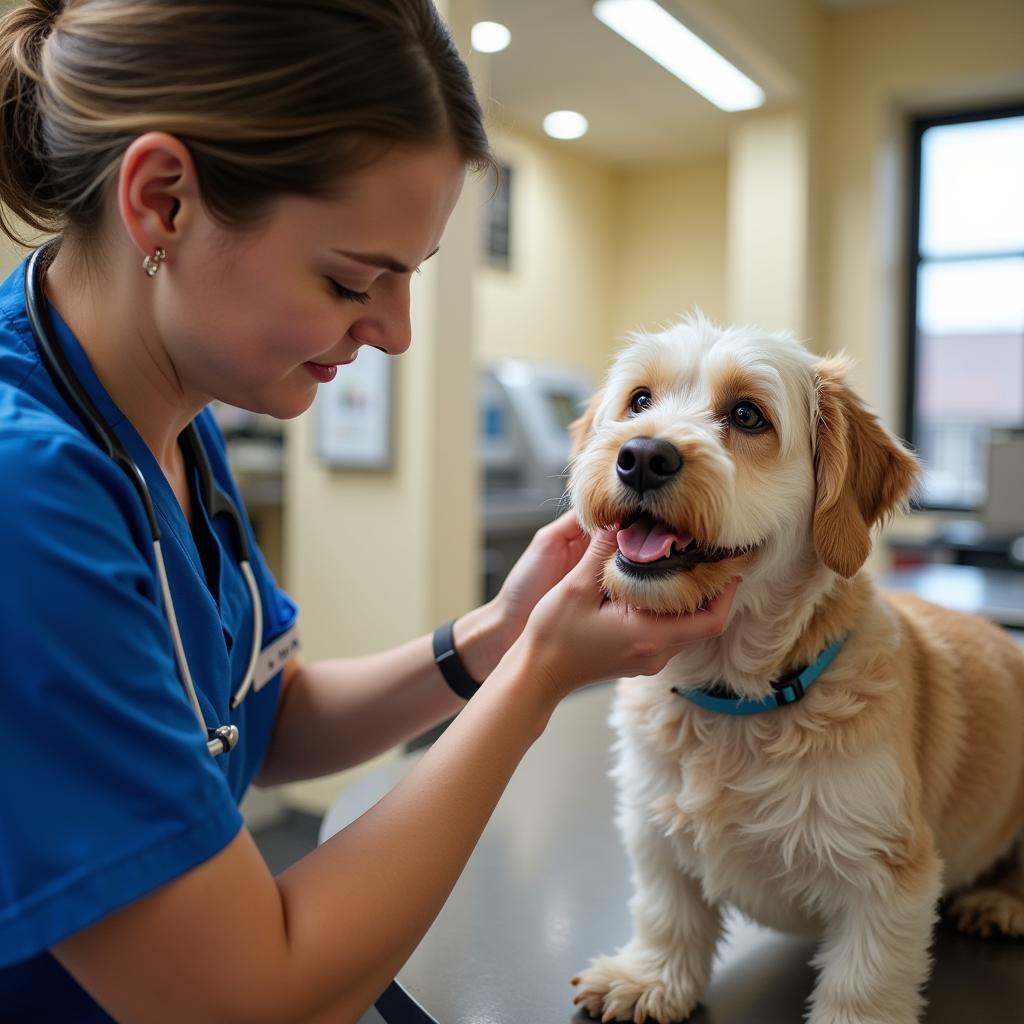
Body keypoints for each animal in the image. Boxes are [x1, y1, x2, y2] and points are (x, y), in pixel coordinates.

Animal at [569, 315, 1024, 1024]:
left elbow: (862, 986)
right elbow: (667, 912)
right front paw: (649, 977)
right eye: (639, 401)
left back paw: (1002, 899)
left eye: (747, 414)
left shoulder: (888, 873)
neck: (734, 699)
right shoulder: (652, 828)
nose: (642, 455)